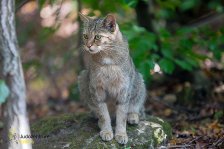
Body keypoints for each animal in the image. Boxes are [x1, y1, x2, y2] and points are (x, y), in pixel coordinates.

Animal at [78, 13, 146, 144]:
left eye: (97, 37)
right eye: (85, 36)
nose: (88, 46)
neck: (107, 58)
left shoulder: (124, 90)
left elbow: (122, 116)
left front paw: (121, 134)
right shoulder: (97, 90)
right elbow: (103, 115)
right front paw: (106, 131)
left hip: (139, 82)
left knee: (137, 107)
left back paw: (133, 116)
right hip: (83, 78)